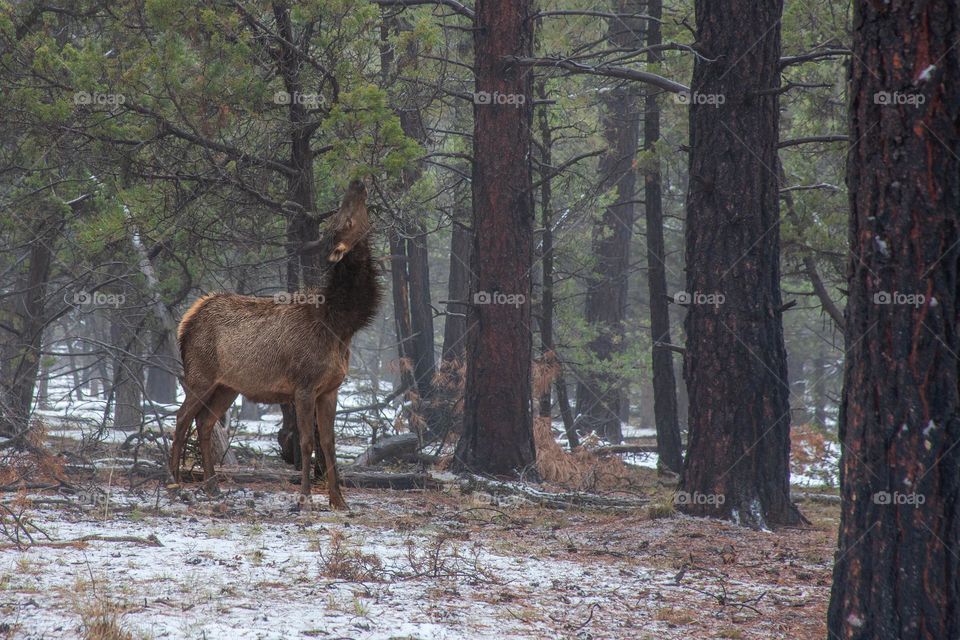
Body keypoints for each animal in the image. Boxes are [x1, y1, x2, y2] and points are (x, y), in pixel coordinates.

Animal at [169, 180, 382, 510]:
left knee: (204, 423)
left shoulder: (330, 388)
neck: (341, 326)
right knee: (181, 419)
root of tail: (187, 322)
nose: (357, 183)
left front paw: (339, 500)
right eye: (345, 219)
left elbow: (329, 443)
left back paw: (213, 487)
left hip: (227, 386)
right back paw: (175, 484)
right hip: (200, 375)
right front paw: (304, 498)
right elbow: (306, 442)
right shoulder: (304, 386)